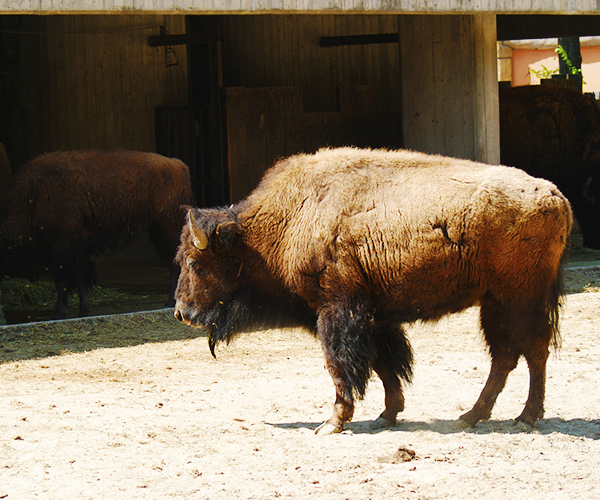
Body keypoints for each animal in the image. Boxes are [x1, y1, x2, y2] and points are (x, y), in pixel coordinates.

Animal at [0, 149, 192, 320]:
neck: (34, 193)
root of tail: (177, 164)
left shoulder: (61, 247)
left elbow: (62, 281)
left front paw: (58, 313)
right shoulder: (73, 250)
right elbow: (79, 278)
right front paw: (83, 309)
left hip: (167, 229)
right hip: (157, 231)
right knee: (172, 262)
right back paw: (170, 302)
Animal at [173, 146, 572, 434]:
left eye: (194, 262)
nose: (181, 312)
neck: (283, 222)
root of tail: (555, 196)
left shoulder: (337, 311)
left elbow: (341, 365)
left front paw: (331, 423)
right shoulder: (375, 317)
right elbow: (384, 364)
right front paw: (387, 415)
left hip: (521, 297)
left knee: (534, 350)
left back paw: (525, 417)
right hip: (494, 302)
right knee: (505, 356)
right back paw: (470, 417)